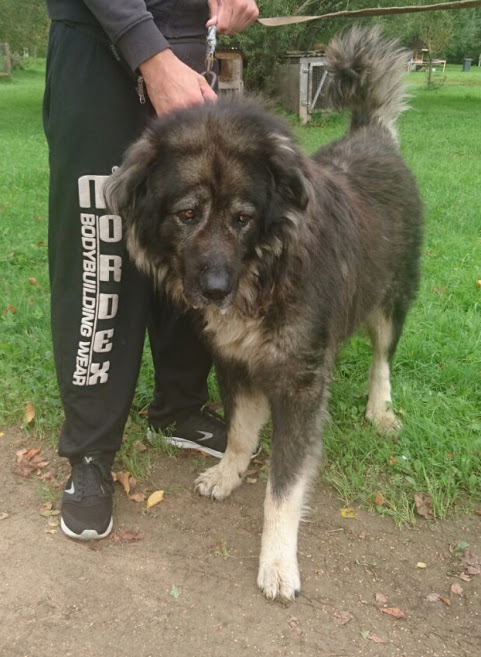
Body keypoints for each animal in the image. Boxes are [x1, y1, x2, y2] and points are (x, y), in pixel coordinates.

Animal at [105, 27, 423, 601]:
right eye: (187, 214)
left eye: (242, 218)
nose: (215, 290)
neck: (265, 269)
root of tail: (373, 135)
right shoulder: (236, 362)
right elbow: (239, 432)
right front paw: (229, 474)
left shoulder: (299, 386)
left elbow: (284, 485)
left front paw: (277, 561)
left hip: (391, 300)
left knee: (382, 358)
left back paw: (380, 409)